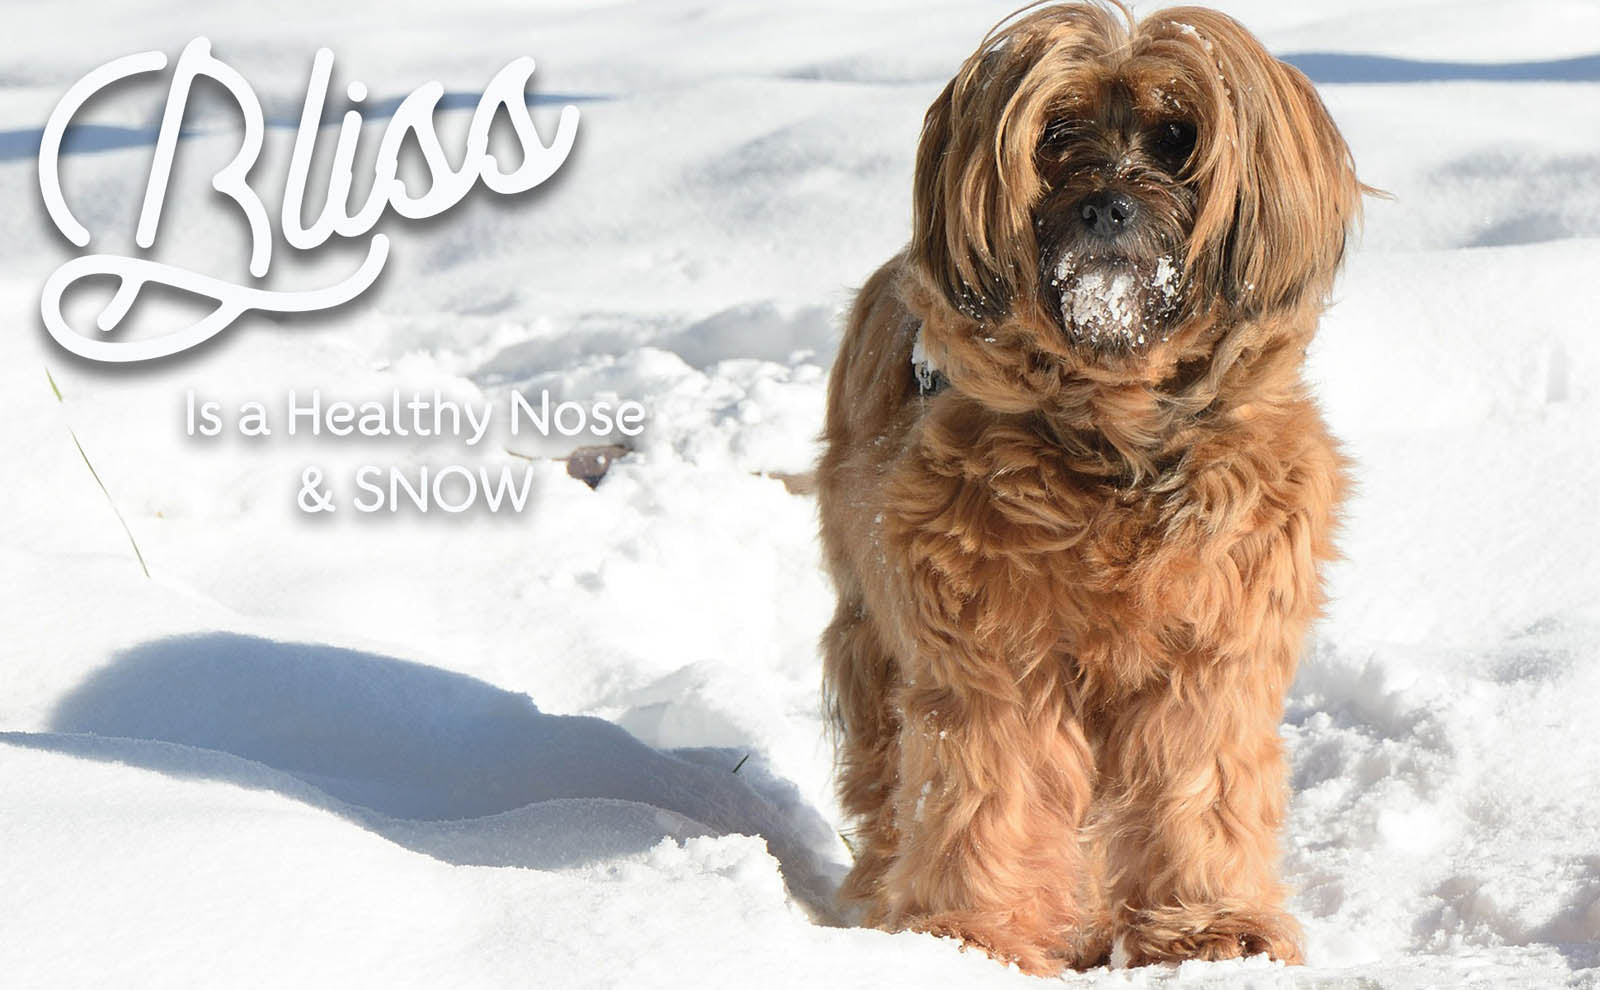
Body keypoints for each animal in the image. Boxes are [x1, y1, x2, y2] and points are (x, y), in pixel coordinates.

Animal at [825, 0, 1363, 978]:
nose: (1106, 205)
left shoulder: (1210, 652)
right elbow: (991, 784)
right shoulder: (990, 650)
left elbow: (1197, 782)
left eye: (1178, 135)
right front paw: (973, 937)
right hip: (871, 631)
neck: (1115, 438)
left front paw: (1205, 928)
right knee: (889, 776)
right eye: (1057, 134)